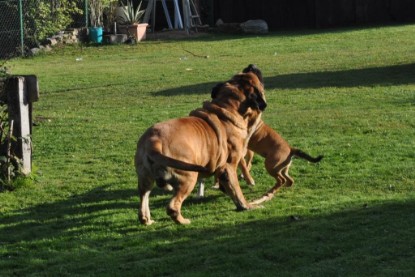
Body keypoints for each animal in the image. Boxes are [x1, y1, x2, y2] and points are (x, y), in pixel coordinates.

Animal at [135, 70, 268, 223]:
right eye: (254, 79)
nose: (251, 66)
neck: (228, 108)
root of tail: (153, 141)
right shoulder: (229, 166)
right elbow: (237, 190)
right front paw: (246, 206)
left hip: (145, 179)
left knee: (144, 198)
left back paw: (147, 220)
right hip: (188, 178)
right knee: (172, 206)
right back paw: (183, 221)